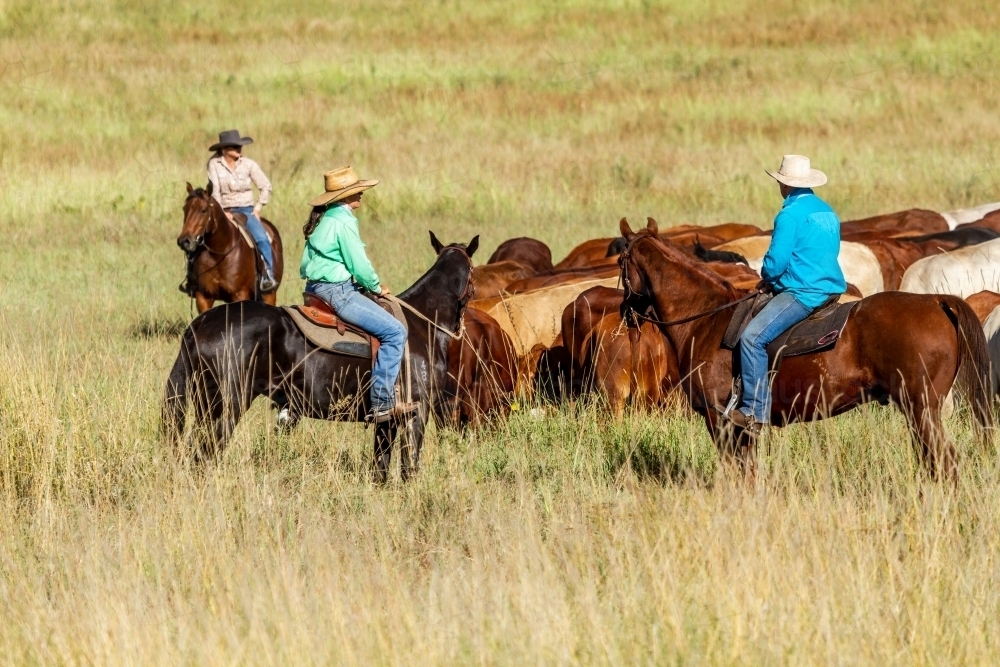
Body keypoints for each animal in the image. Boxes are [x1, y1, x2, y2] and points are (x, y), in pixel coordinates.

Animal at [162, 232, 478, 482]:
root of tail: (199, 325)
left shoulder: (386, 419)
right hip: (225, 408)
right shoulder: (417, 413)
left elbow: (381, 467)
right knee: (203, 456)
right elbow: (409, 466)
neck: (423, 322)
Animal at [176, 181, 284, 314]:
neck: (219, 252)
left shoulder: (239, 295)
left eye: (203, 210)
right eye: (184, 209)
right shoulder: (203, 297)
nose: (184, 241)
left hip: (269, 294)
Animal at [616, 218, 992, 480]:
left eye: (621, 262)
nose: (626, 314)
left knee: (944, 462)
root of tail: (936, 301)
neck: (707, 318)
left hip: (921, 409)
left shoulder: (719, 421)